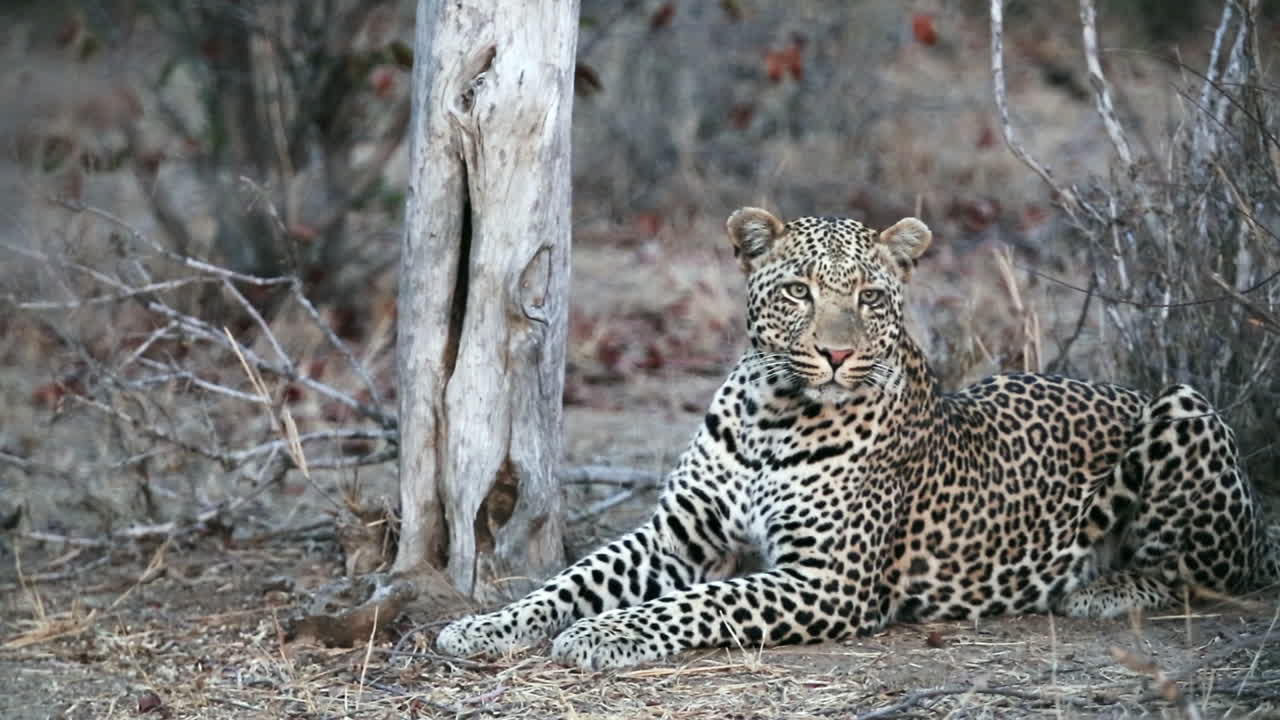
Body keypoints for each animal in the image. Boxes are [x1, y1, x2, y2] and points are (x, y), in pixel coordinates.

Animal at [437, 207, 1280, 671]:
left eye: (871, 297)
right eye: (798, 291)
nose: (837, 354)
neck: (773, 412)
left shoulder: (826, 579)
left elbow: (697, 603)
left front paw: (605, 633)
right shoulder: (676, 535)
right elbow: (570, 579)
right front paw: (484, 625)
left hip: (1183, 404)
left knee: (1207, 572)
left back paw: (1107, 589)